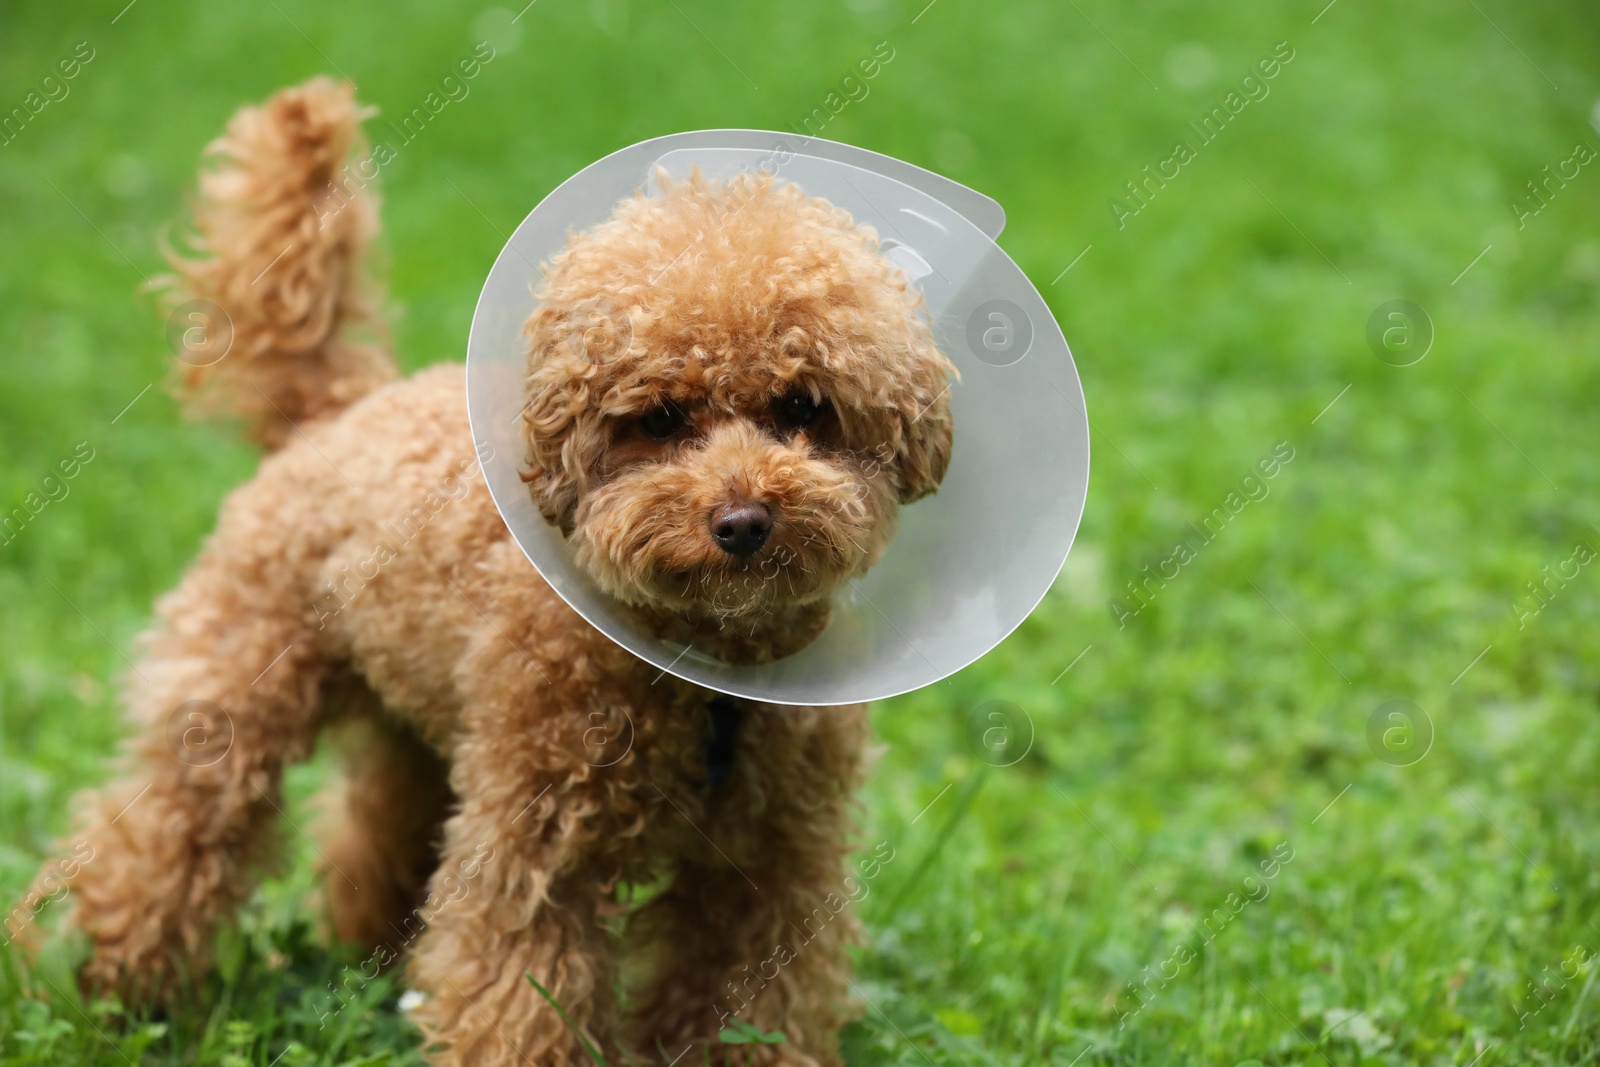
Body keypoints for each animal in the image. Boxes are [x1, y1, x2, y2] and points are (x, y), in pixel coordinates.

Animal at [25, 77, 953, 1067]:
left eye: (803, 407)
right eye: (660, 418)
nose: (742, 521)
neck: (706, 675)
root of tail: (338, 407)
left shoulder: (771, 867)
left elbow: (746, 1001)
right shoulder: (534, 847)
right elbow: (521, 992)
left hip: (420, 724)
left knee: (373, 827)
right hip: (238, 693)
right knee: (164, 835)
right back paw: (113, 988)